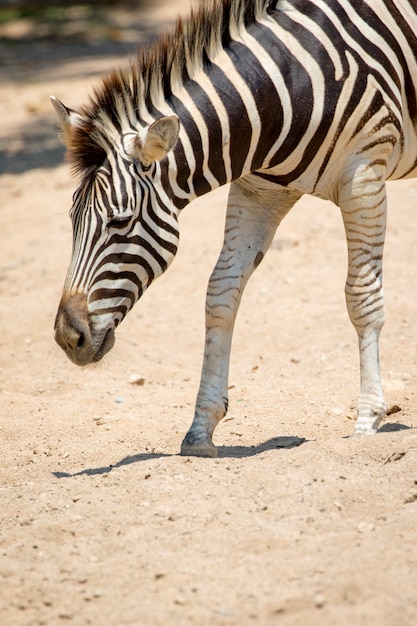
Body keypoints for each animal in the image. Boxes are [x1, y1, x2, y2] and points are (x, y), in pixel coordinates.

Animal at [51, 0, 416, 454]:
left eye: (119, 222)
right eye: (72, 220)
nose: (68, 338)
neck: (287, 91)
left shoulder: (364, 175)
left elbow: (361, 296)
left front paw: (367, 421)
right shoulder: (259, 189)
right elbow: (221, 293)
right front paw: (201, 428)